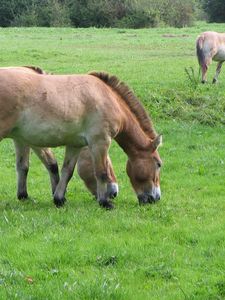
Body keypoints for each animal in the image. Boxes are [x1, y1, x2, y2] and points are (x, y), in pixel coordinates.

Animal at [0, 68, 162, 209]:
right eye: (159, 164)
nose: (156, 198)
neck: (107, 97)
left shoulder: (75, 145)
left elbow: (67, 171)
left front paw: (59, 199)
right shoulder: (100, 142)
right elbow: (101, 172)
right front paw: (105, 203)